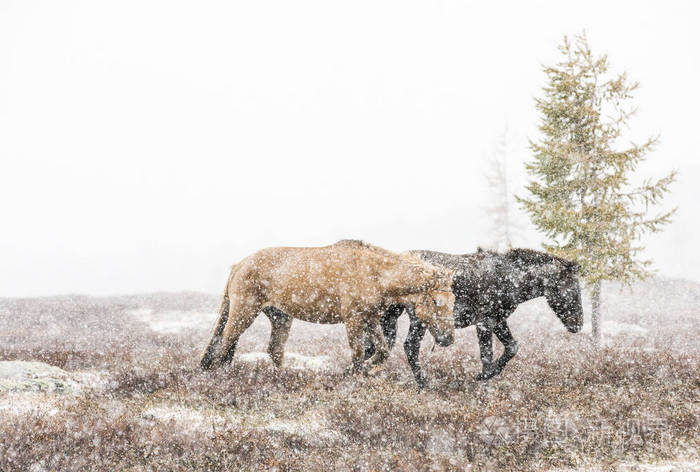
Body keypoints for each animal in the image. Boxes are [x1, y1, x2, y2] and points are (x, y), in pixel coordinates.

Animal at [200, 240, 456, 375]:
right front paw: (353, 375)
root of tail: (239, 265)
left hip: (280, 317)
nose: (448, 339)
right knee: (226, 342)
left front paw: (365, 370)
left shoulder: (370, 318)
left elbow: (381, 351)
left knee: (274, 350)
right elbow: (358, 353)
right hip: (244, 312)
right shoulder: (353, 319)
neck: (374, 273)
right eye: (436, 301)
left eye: (454, 301)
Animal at [370, 248, 583, 388]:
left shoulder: (497, 320)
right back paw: (423, 383)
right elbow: (487, 356)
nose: (578, 325)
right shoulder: (484, 322)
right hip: (419, 318)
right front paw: (482, 380)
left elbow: (512, 347)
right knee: (410, 346)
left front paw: (488, 376)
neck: (509, 280)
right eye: (572, 290)